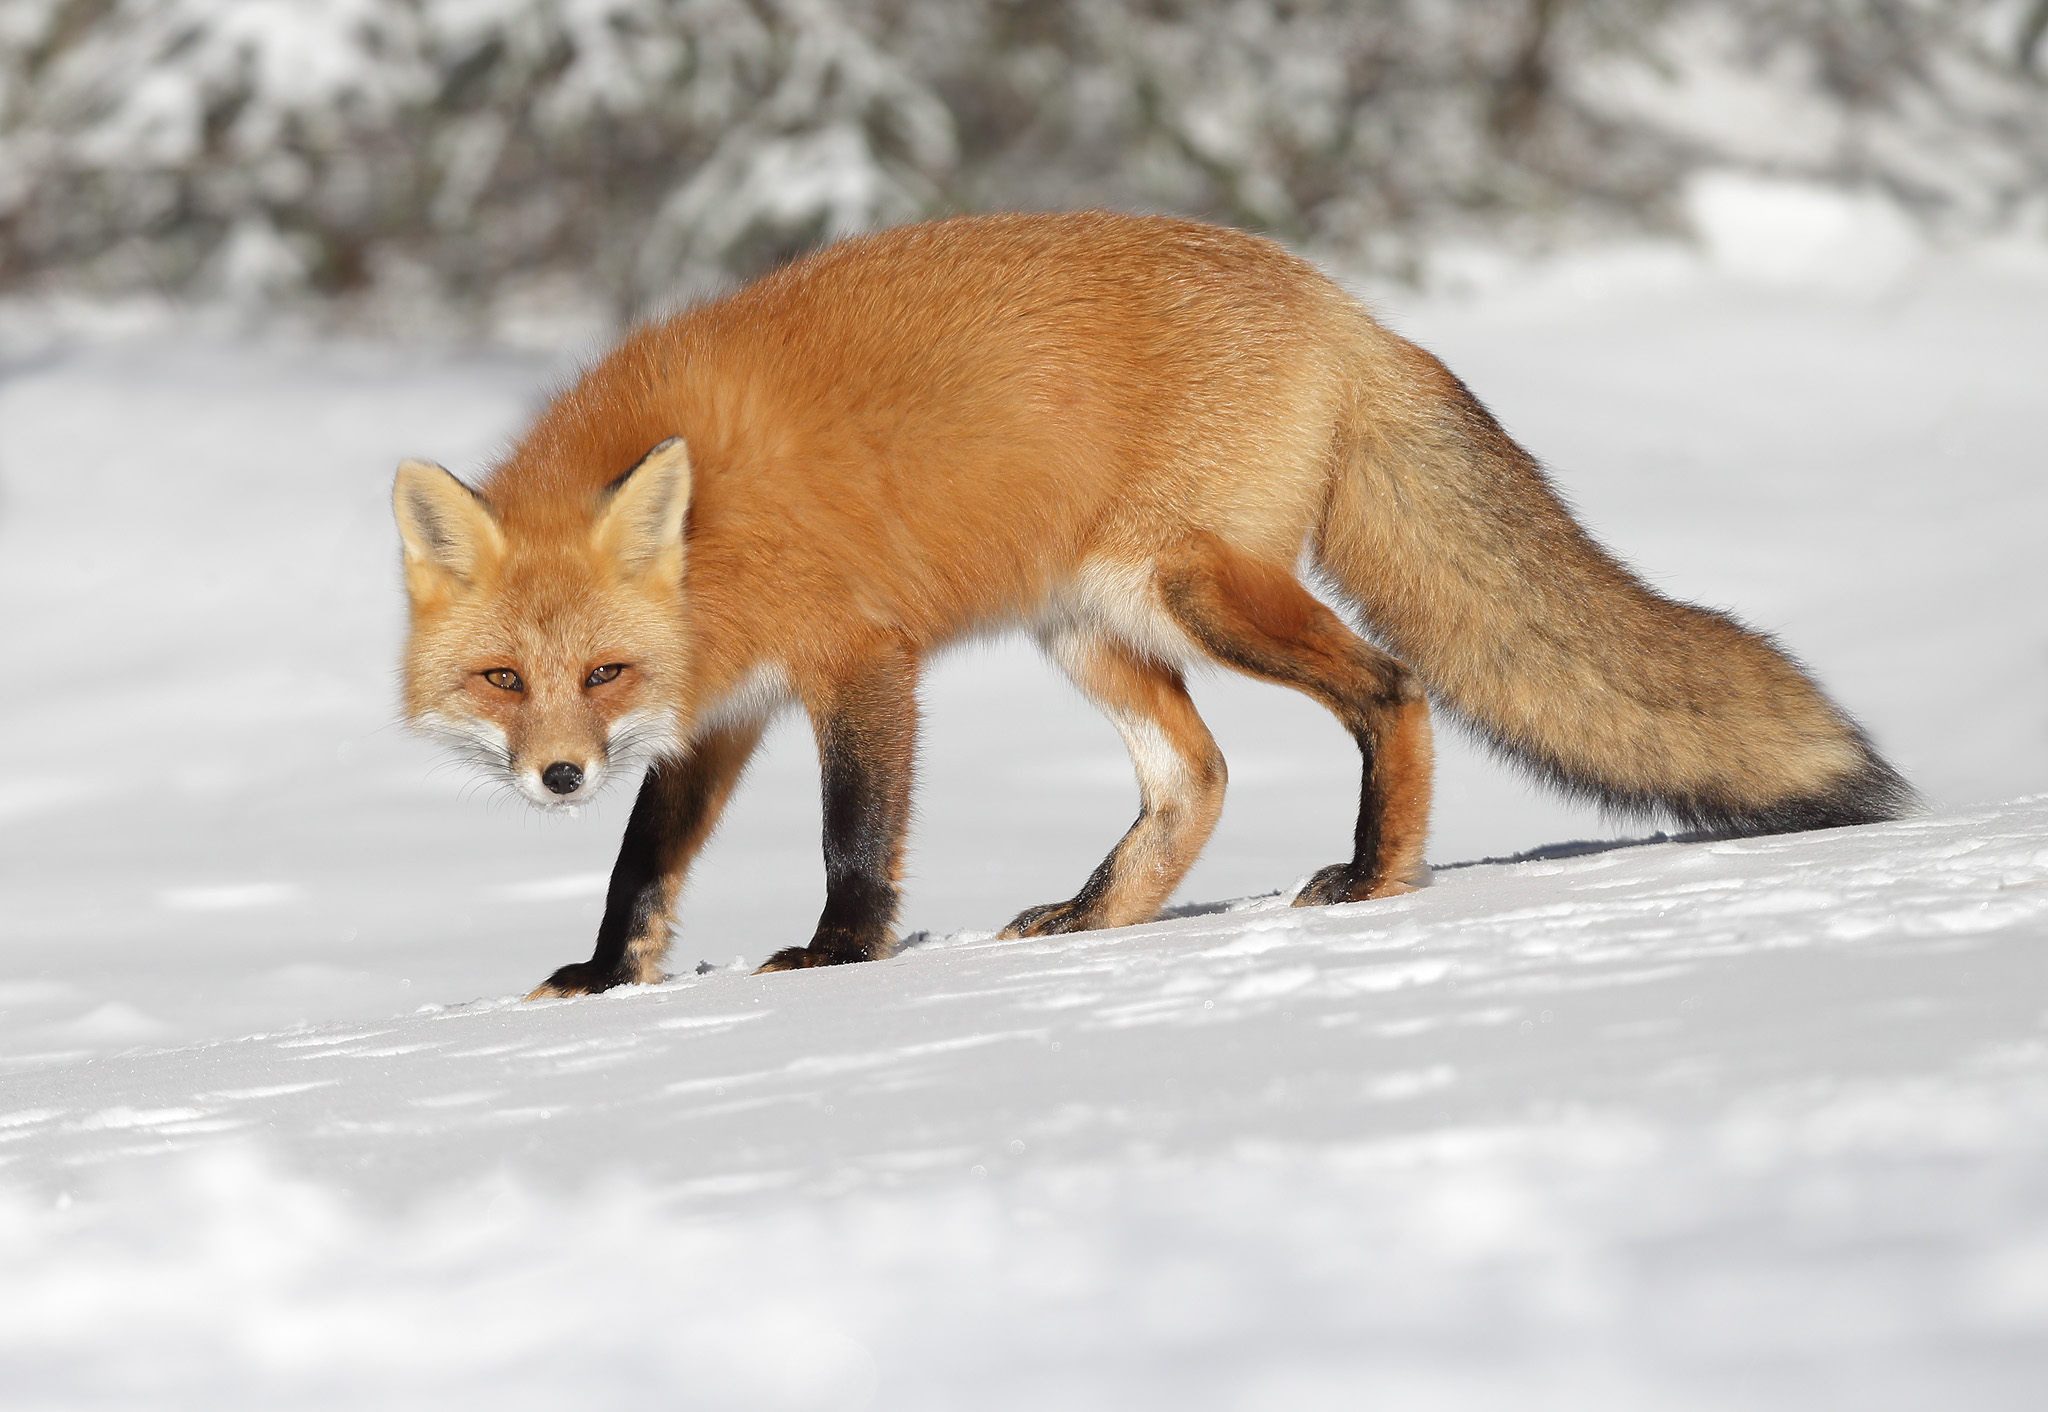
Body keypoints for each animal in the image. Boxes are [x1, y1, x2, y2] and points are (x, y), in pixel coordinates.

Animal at [392, 210, 1912, 999]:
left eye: (599, 674)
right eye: (504, 682)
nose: (558, 775)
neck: (712, 545)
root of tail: (1340, 304)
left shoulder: (859, 660)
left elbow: (854, 837)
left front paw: (836, 957)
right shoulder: (721, 713)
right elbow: (640, 866)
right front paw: (605, 976)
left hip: (1191, 589)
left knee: (1390, 688)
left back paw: (1374, 878)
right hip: (1091, 627)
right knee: (1199, 774)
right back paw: (1093, 920)